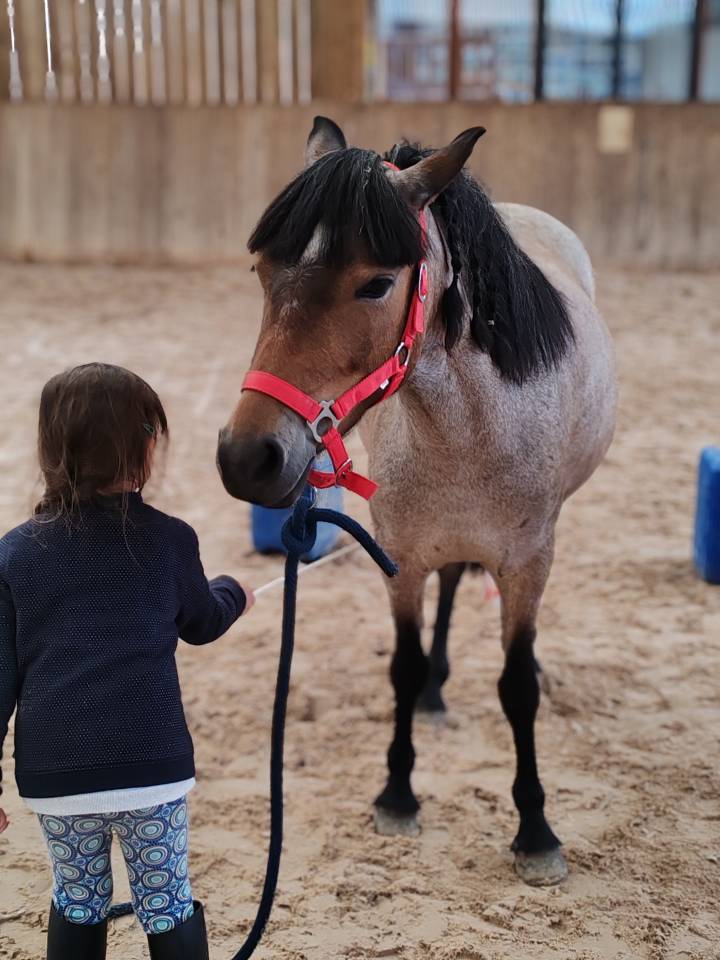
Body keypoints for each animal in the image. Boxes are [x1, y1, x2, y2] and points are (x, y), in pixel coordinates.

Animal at [216, 116, 617, 886]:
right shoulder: (401, 557)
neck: (470, 429)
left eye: (375, 283)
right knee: (452, 584)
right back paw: (436, 689)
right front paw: (398, 793)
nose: (248, 457)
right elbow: (401, 668)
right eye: (262, 273)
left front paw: (536, 831)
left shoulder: (527, 562)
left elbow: (516, 686)